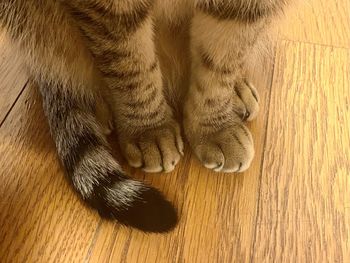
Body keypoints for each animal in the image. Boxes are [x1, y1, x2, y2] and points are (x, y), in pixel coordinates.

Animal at [0, 0, 288, 232]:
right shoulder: (113, 11)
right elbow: (131, 65)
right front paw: (149, 130)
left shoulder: (246, 8)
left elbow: (220, 65)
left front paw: (214, 127)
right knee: (60, 63)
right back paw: (97, 105)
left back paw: (237, 89)